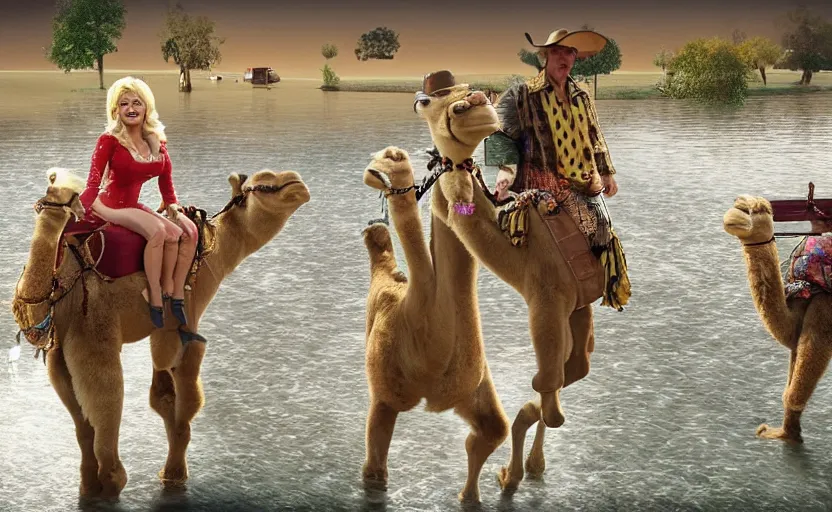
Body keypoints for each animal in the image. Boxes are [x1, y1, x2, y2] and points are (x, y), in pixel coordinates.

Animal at [12, 167, 309, 498]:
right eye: (265, 185)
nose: (298, 185)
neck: (212, 251)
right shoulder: (185, 321)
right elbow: (185, 398)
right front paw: (175, 475)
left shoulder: (158, 331)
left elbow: (162, 397)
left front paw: (171, 474)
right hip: (93, 334)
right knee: (106, 400)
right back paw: (112, 481)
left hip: (60, 354)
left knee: (82, 422)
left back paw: (88, 486)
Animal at [723, 195, 832, 444]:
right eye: (738, 205)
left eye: (756, 211)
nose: (732, 217)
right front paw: (789, 431)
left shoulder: (824, 312)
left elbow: (797, 389)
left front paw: (784, 435)